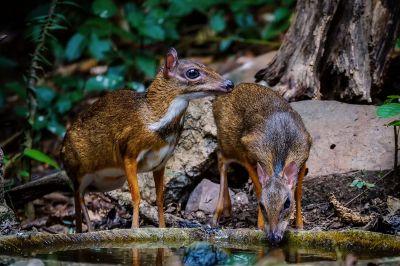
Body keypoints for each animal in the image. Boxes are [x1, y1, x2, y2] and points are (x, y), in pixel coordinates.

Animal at [61, 48, 234, 233]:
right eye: (192, 72)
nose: (229, 83)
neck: (155, 122)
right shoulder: (129, 153)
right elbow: (136, 197)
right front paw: (135, 229)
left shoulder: (160, 162)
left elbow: (159, 198)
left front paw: (163, 228)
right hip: (77, 172)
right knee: (78, 196)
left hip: (107, 181)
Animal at [211, 82, 310, 243]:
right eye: (262, 205)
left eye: (287, 203)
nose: (274, 236)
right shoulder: (247, 151)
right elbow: (258, 188)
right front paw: (260, 224)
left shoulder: (305, 154)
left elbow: (298, 193)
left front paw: (300, 224)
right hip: (227, 142)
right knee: (221, 159)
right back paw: (216, 215)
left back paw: (227, 209)